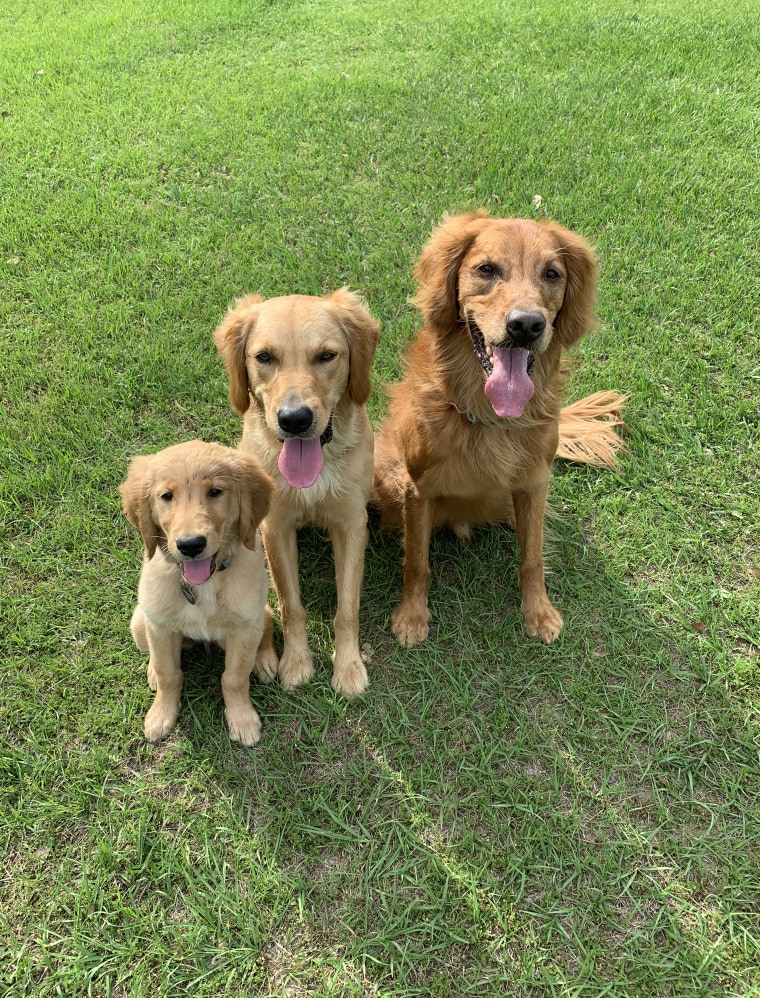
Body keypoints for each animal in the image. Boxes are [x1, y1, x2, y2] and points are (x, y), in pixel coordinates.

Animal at [123, 442, 278, 748]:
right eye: (167, 496)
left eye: (215, 492)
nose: (191, 545)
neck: (204, 583)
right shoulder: (159, 624)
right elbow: (169, 673)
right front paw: (161, 715)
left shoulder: (245, 626)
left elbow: (235, 677)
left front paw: (243, 720)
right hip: (139, 622)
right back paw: (151, 671)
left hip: (259, 614)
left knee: (265, 630)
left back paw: (265, 660)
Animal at [212, 288, 380, 696]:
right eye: (264, 357)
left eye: (326, 355)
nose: (294, 419)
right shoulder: (276, 527)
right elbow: (291, 604)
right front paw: (296, 663)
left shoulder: (352, 523)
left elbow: (347, 606)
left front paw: (348, 667)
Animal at [372, 211, 624, 648]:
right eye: (486, 269)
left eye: (552, 274)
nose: (526, 325)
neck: (488, 416)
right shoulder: (418, 488)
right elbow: (417, 562)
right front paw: (412, 617)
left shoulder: (535, 482)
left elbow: (533, 557)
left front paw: (538, 612)